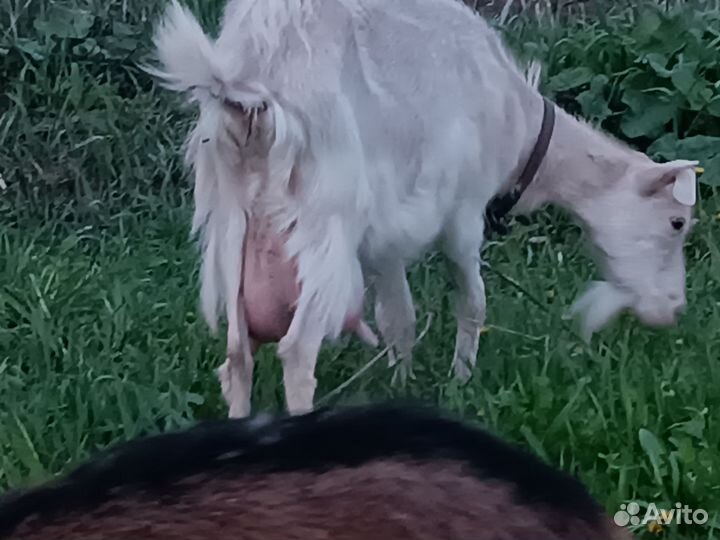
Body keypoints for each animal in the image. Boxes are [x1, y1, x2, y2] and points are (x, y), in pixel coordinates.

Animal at [145, 0, 698, 416]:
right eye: (677, 222)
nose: (674, 310)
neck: (518, 122)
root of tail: (249, 86)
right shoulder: (464, 213)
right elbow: (472, 301)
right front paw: (461, 380)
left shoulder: (384, 238)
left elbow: (399, 318)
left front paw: (403, 385)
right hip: (326, 219)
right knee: (297, 350)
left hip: (228, 220)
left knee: (237, 356)